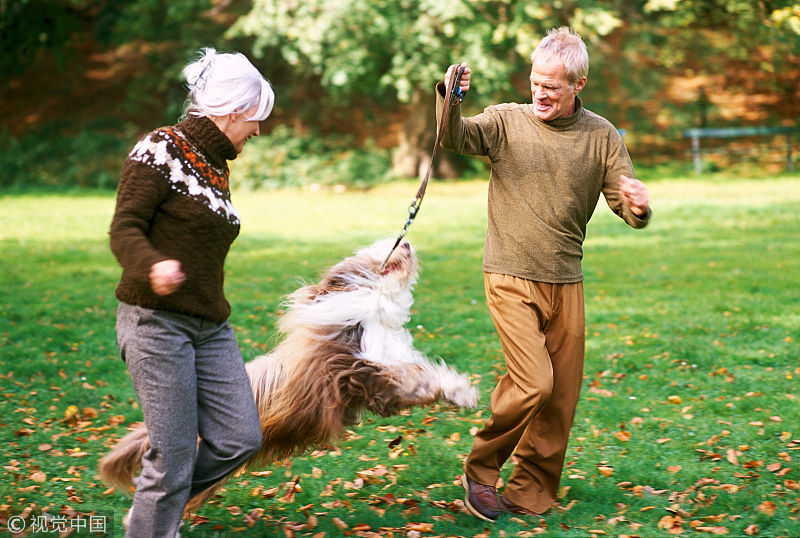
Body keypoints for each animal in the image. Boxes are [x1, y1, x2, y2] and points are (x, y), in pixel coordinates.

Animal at [97, 239, 478, 510]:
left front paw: (459, 390)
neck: (371, 311)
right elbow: (414, 379)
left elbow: (422, 375)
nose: (407, 242)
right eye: (381, 249)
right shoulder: (362, 370)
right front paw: (463, 392)